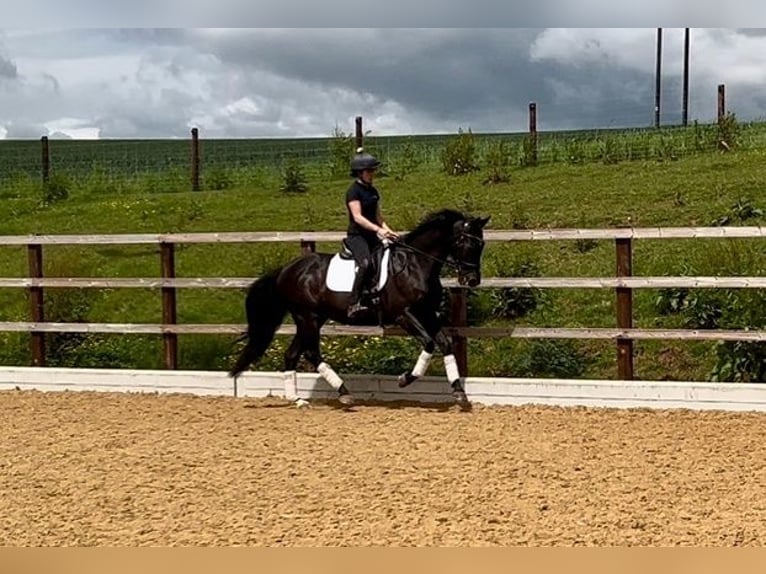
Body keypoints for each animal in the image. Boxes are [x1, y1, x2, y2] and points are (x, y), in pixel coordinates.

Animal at [230, 209, 492, 408]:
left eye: (481, 244)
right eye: (466, 242)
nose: (471, 280)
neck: (415, 265)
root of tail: (286, 269)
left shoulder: (427, 314)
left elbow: (445, 343)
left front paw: (458, 391)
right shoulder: (404, 315)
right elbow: (428, 343)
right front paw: (405, 379)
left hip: (313, 318)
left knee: (293, 354)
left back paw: (299, 399)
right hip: (307, 317)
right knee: (310, 353)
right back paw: (342, 393)